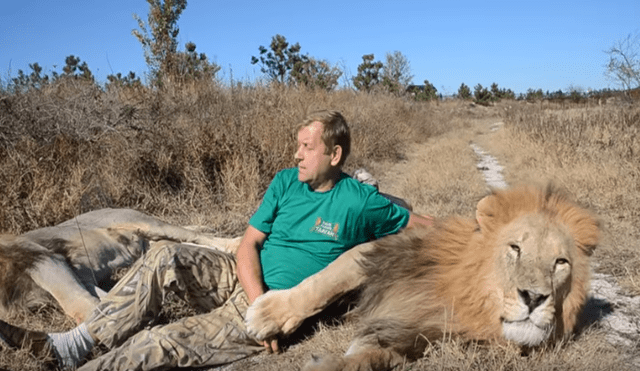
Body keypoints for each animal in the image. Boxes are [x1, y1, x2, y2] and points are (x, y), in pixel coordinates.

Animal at [0, 211, 240, 324]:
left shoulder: (47, 260)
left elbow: (77, 303)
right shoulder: (80, 275)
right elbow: (102, 297)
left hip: (147, 222)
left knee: (200, 236)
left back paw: (235, 246)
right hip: (150, 242)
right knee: (179, 245)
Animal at [245, 185, 600, 370]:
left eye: (561, 263)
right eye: (515, 248)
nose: (535, 297)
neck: (462, 298)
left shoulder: (420, 334)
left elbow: (372, 355)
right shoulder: (381, 252)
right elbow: (323, 282)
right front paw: (265, 316)